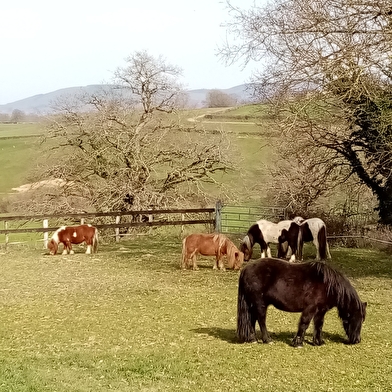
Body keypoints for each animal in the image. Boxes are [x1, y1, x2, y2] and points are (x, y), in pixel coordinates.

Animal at [236, 258, 368, 348]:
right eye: (358, 318)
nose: (357, 340)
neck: (328, 285)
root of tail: (245, 269)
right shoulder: (310, 308)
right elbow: (304, 323)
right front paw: (298, 342)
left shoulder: (321, 311)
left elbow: (319, 325)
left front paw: (318, 342)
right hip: (260, 303)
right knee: (261, 320)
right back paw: (267, 340)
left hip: (252, 304)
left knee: (252, 319)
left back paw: (252, 338)